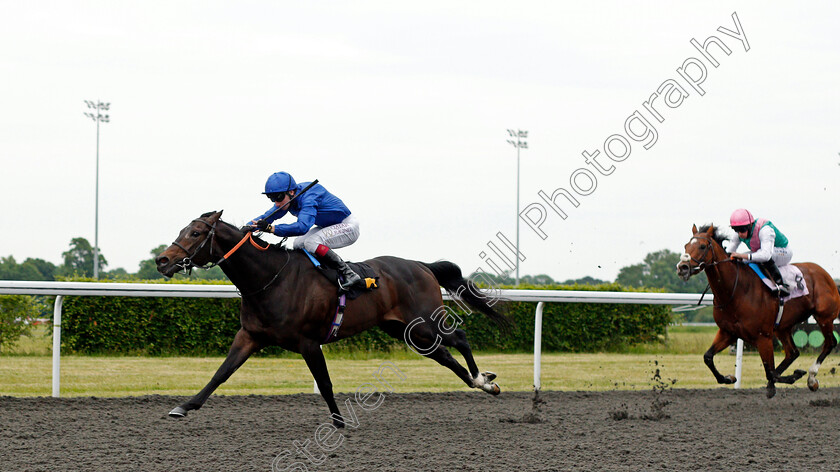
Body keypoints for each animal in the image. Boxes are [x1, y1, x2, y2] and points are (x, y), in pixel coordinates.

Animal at [156, 212, 512, 426]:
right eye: (182, 229)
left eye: (196, 232)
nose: (162, 260)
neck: (270, 278)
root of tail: (421, 265)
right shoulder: (250, 336)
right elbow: (221, 373)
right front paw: (184, 406)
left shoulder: (308, 342)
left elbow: (325, 383)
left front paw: (339, 422)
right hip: (405, 331)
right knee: (445, 355)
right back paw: (483, 384)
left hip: (424, 321)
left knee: (459, 338)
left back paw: (481, 378)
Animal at [676, 225, 840, 398]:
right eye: (686, 246)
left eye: (702, 246)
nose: (682, 268)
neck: (736, 291)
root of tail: (825, 274)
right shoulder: (728, 332)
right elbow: (707, 357)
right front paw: (729, 378)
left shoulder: (763, 337)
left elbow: (770, 372)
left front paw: (795, 375)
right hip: (782, 327)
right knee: (792, 352)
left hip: (824, 317)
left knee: (830, 343)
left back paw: (812, 377)